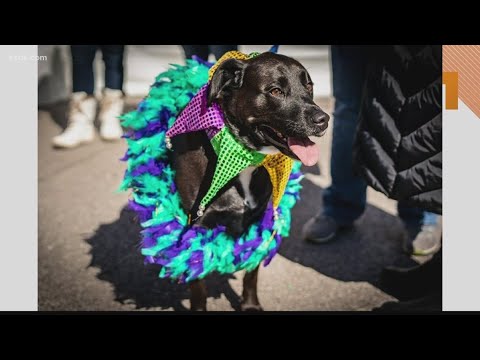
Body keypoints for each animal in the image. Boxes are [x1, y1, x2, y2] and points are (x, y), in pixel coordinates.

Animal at [171, 52, 328, 310]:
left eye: (309, 85)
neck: (242, 158)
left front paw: (250, 305)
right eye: (275, 91)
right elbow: (197, 279)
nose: (324, 120)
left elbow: (251, 271)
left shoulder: (256, 220)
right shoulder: (196, 226)